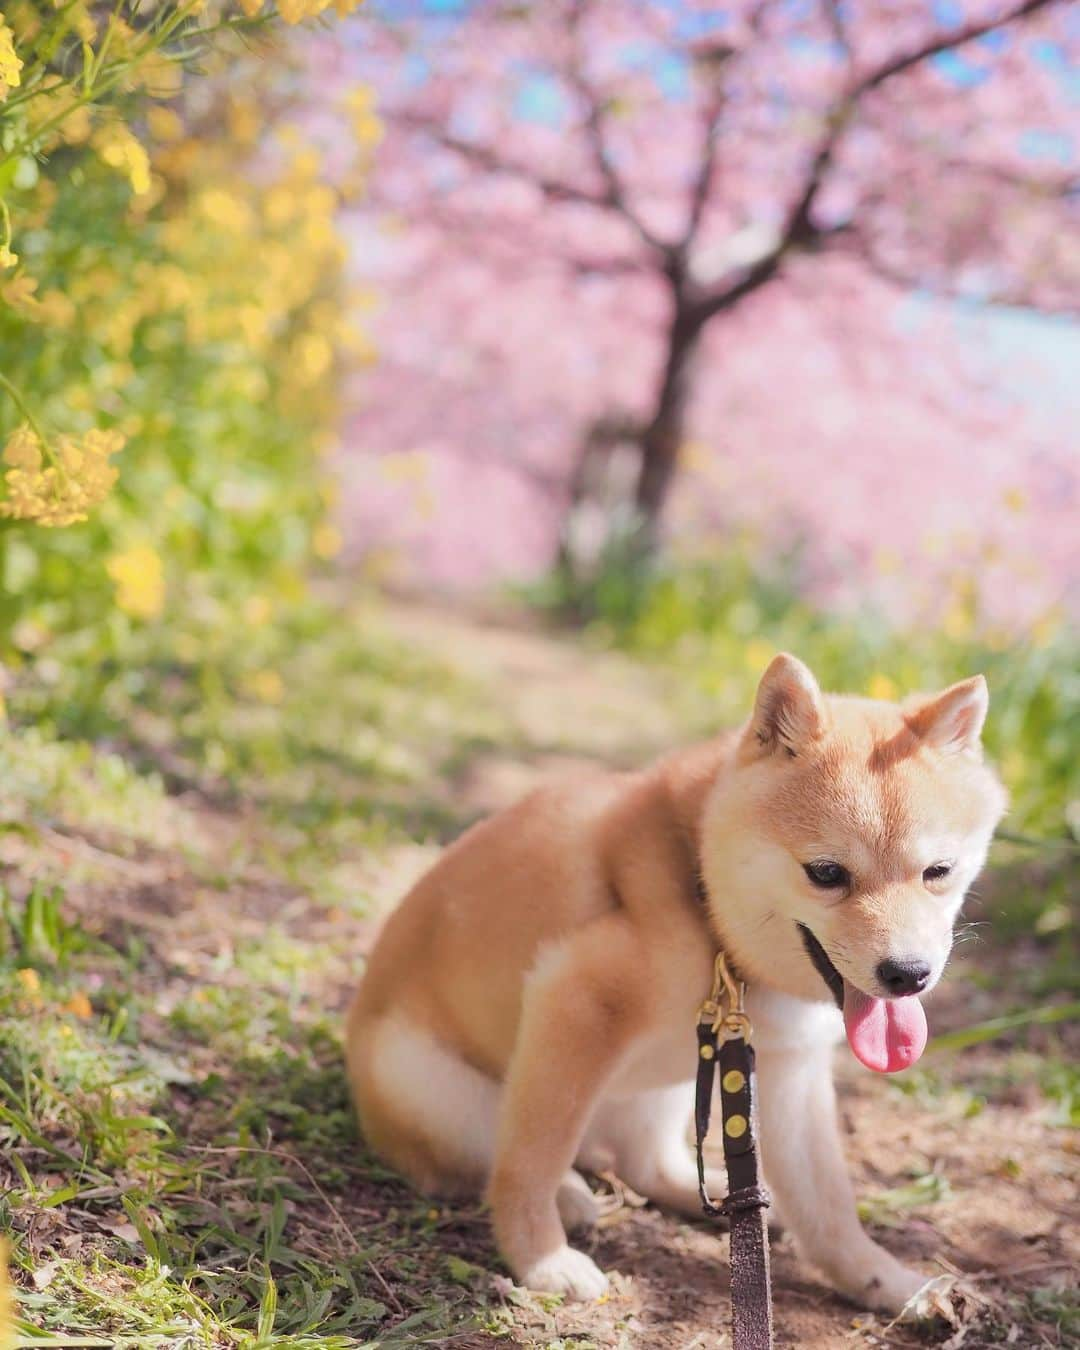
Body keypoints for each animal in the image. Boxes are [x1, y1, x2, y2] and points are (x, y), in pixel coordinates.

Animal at [344, 658, 1004, 1312]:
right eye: (826, 873)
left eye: (938, 872)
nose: (908, 974)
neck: (708, 904)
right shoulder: (575, 1000)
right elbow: (530, 1164)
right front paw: (542, 1261)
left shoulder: (791, 1068)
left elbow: (831, 1211)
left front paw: (891, 1284)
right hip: (441, 1093)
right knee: (503, 1161)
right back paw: (572, 1196)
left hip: (677, 1081)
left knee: (644, 1164)